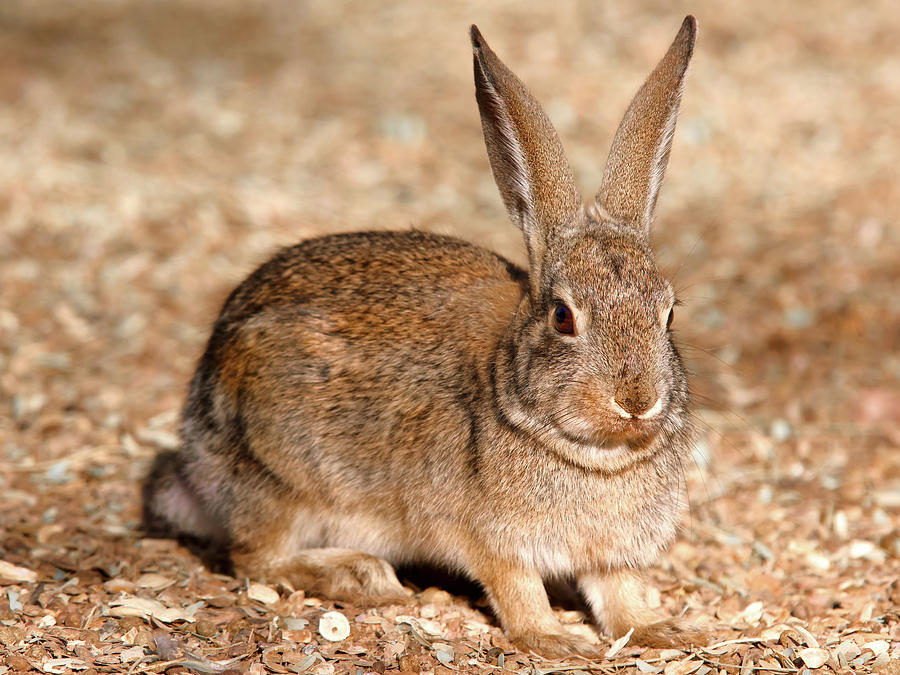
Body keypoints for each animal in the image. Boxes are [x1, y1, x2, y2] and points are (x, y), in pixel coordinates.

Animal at [142, 17, 704, 660]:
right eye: (563, 317)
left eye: (668, 313)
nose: (637, 401)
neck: (594, 454)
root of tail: (196, 458)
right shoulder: (491, 540)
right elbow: (516, 591)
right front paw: (554, 640)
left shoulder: (611, 557)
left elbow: (620, 594)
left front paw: (663, 629)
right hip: (280, 479)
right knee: (254, 558)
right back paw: (363, 577)